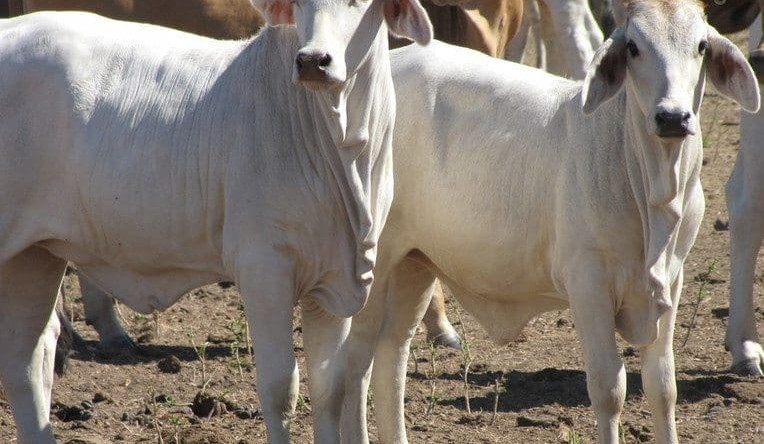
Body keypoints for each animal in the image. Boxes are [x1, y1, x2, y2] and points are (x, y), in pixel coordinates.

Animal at [0, 0, 433, 442]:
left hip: (34, 255)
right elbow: (281, 388)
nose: (312, 60)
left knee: (27, 358)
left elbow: (330, 390)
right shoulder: (264, 268)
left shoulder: (333, 285)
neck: (346, 151)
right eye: (298, 5)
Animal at [338, 1, 761, 443]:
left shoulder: (671, 283)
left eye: (701, 46)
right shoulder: (588, 284)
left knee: (392, 353)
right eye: (632, 47)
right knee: (355, 360)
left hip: (414, 263)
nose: (673, 117)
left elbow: (662, 386)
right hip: (377, 261)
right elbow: (609, 388)